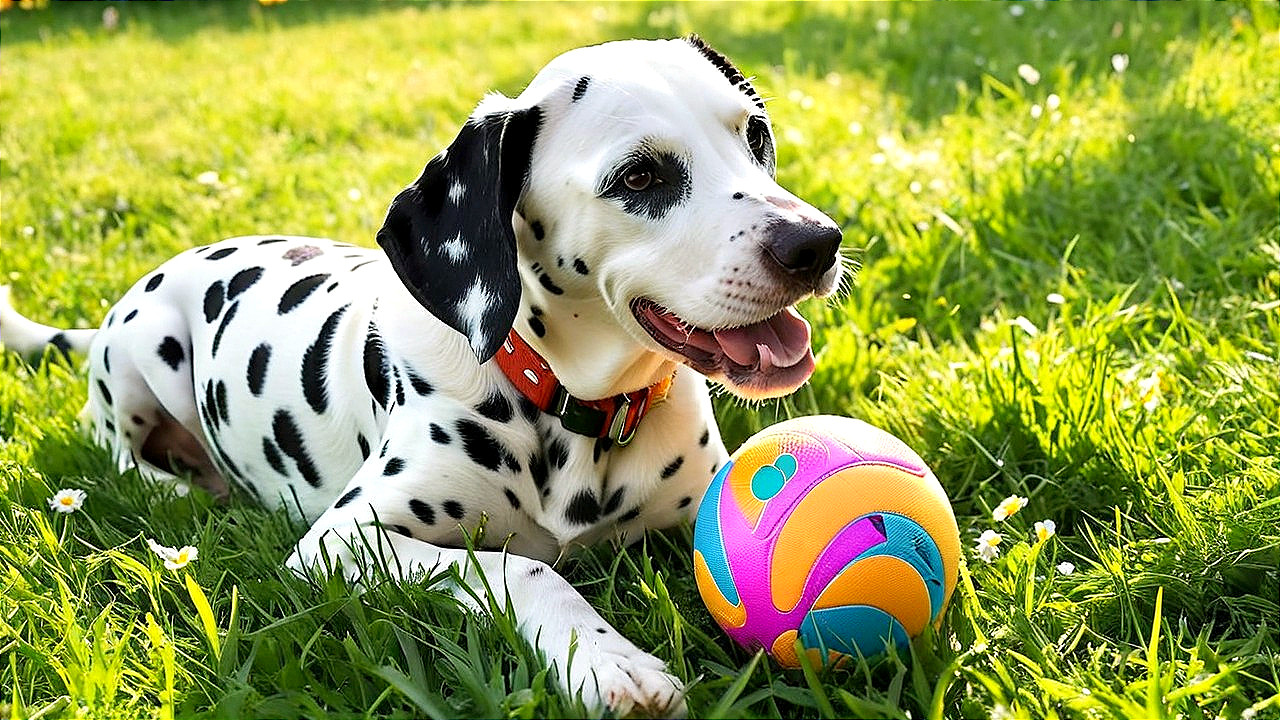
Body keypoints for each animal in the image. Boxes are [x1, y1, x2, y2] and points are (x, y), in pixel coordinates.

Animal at [0, 37, 844, 712]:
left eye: (755, 133)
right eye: (639, 178)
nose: (816, 243)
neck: (569, 405)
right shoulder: (342, 544)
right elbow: (519, 568)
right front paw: (610, 664)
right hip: (149, 348)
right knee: (117, 454)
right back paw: (181, 488)